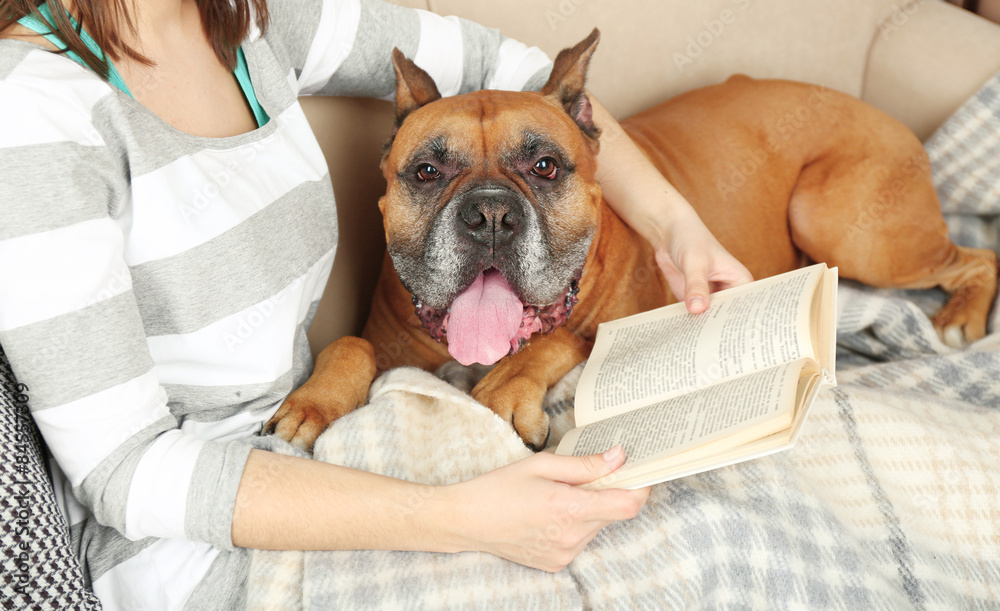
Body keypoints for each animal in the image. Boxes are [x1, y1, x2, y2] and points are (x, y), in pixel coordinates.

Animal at [264, 29, 992, 450]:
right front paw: (313, 402)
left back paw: (958, 320)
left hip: (838, 224)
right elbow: (351, 344)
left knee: (980, 256)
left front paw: (505, 390)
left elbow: (556, 341)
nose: (490, 214)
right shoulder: (386, 341)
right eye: (425, 172)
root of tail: (881, 114)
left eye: (545, 166)